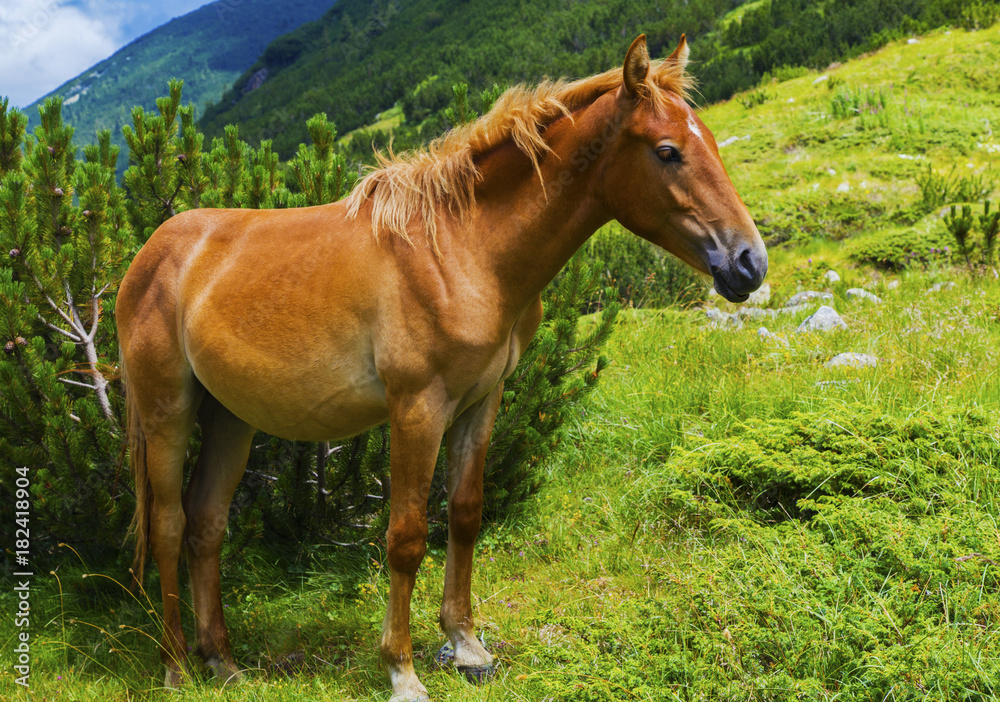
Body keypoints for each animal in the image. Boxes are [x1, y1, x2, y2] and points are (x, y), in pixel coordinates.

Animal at [115, 35, 764, 700]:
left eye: (710, 142)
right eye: (667, 152)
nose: (748, 263)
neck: (461, 249)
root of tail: (151, 254)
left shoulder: (481, 401)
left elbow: (465, 514)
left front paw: (467, 644)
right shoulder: (417, 409)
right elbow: (405, 538)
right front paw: (401, 669)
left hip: (229, 418)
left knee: (206, 524)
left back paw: (222, 661)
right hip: (168, 413)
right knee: (168, 526)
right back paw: (175, 665)